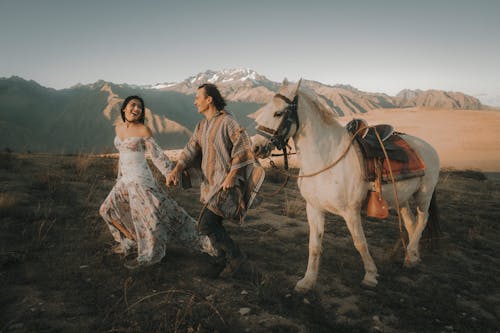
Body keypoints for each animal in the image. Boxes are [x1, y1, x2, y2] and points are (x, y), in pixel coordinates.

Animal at [252, 80, 440, 290]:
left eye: (278, 113)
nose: (255, 147)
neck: (327, 159)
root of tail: (428, 147)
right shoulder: (314, 208)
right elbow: (314, 245)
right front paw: (307, 281)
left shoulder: (351, 211)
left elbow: (360, 242)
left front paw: (370, 275)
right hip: (403, 199)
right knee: (411, 223)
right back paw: (412, 256)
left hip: (424, 195)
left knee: (422, 220)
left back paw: (410, 257)